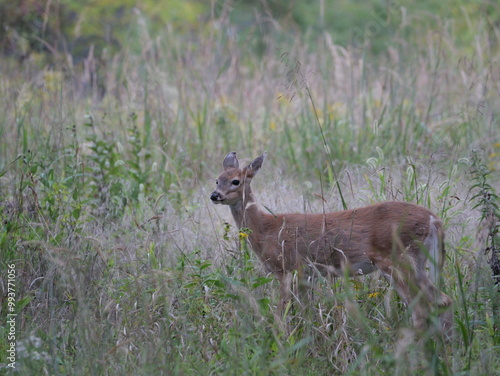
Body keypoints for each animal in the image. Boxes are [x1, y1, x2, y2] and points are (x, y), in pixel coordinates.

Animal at [210, 152, 454, 332]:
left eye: (236, 181)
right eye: (217, 179)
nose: (214, 195)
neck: (266, 229)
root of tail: (434, 220)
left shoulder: (287, 268)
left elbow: (280, 314)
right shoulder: (306, 275)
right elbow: (306, 312)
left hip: (398, 261)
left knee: (422, 309)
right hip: (418, 263)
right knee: (443, 300)